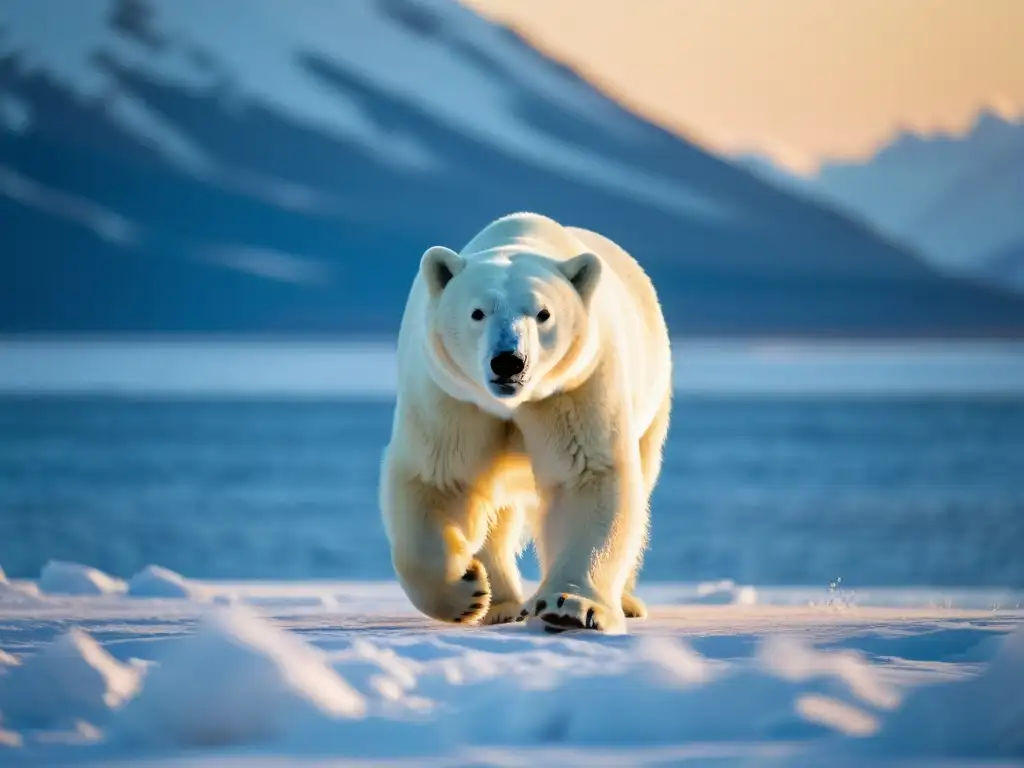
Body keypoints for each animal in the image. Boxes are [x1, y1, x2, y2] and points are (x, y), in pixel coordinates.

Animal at [379, 211, 672, 634]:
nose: (508, 361)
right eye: (478, 312)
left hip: (651, 402)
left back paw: (626, 601)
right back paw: (501, 604)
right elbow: (439, 478)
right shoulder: (453, 399)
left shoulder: (572, 388)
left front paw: (570, 606)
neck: (513, 403)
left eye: (543, 313)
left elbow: (585, 476)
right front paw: (465, 589)